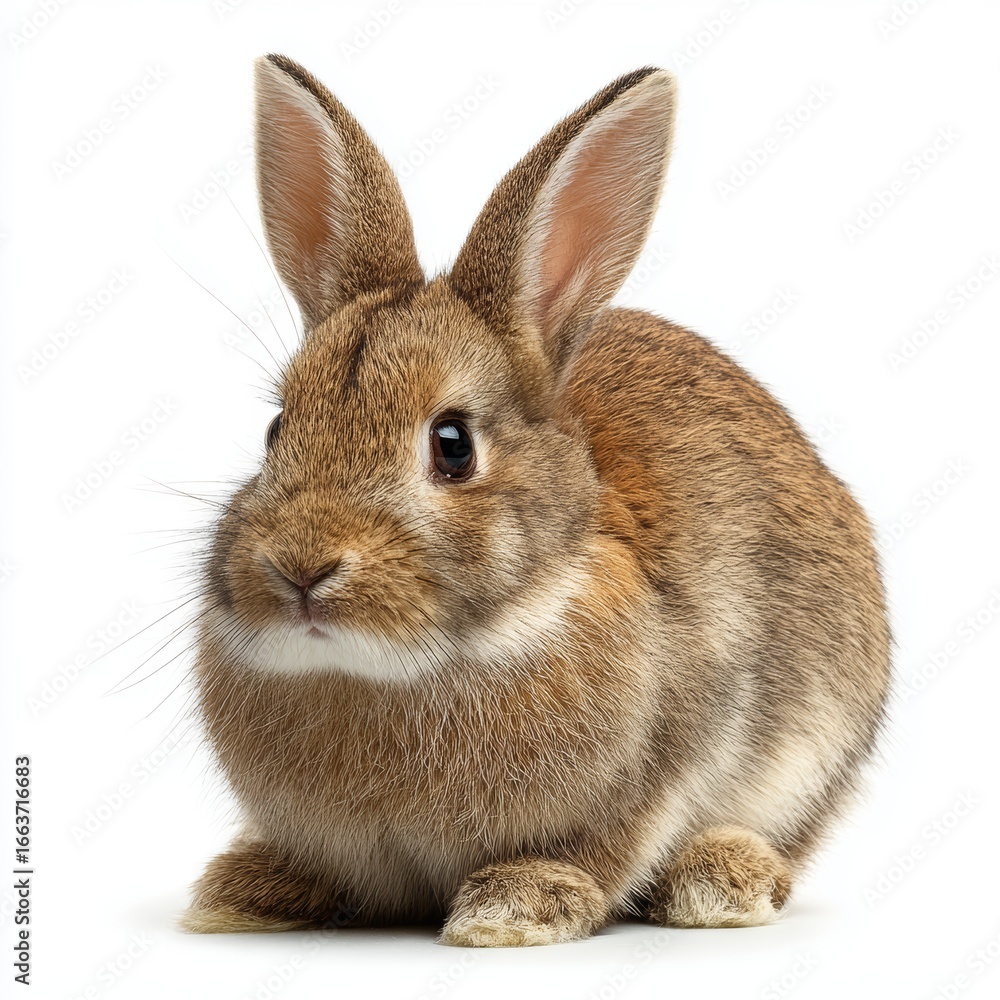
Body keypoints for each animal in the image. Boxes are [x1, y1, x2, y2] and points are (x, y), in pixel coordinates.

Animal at [180, 53, 891, 947]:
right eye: (276, 430)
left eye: (453, 444)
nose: (301, 569)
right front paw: (242, 893)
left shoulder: (668, 754)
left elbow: (611, 844)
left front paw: (513, 908)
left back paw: (722, 880)